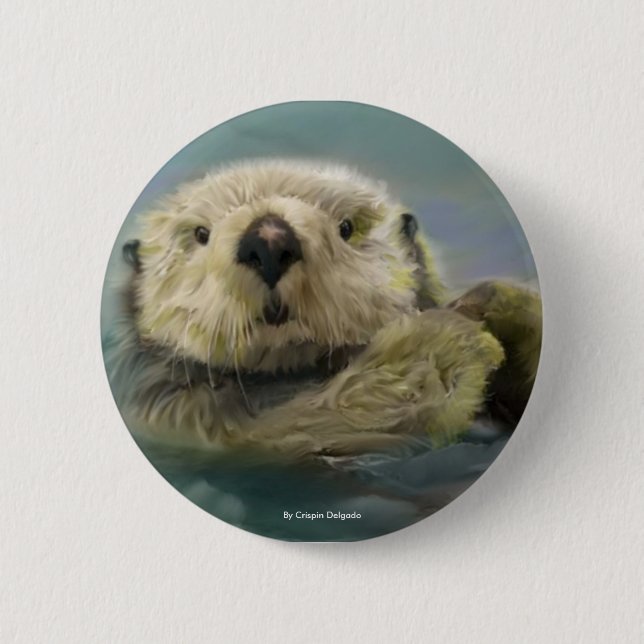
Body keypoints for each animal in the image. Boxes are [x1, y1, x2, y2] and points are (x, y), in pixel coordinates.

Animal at [103, 160, 541, 458]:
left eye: (346, 227)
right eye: (200, 234)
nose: (269, 239)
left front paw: (505, 308)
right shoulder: (174, 417)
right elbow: (286, 431)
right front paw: (438, 346)